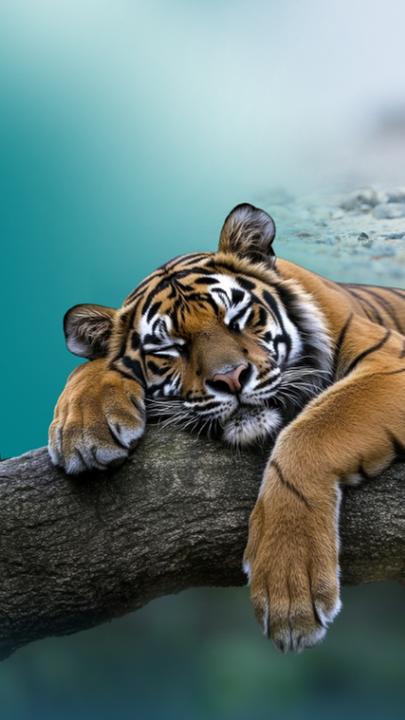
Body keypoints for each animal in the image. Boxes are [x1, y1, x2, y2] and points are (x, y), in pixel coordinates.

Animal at [48, 203, 405, 653]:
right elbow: (89, 365)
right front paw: (80, 431)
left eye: (236, 318)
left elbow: (308, 434)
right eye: (170, 349)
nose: (232, 378)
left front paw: (290, 589)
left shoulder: (391, 362)